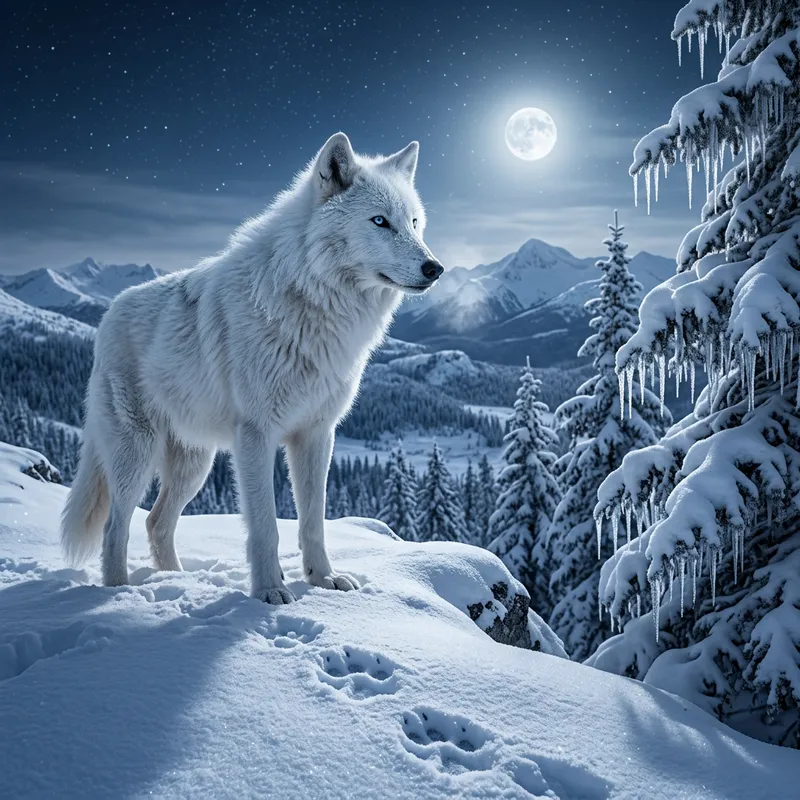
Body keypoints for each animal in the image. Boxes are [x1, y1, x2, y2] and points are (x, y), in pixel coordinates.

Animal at [61, 133, 443, 603]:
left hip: (195, 465)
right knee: (116, 525)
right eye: (379, 221)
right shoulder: (256, 435)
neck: (312, 303)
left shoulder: (317, 434)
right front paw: (270, 592)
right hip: (138, 452)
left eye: (414, 223)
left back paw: (176, 580)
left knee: (155, 521)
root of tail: (108, 314)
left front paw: (323, 579)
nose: (435, 268)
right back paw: (119, 591)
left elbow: (313, 521)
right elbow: (265, 525)